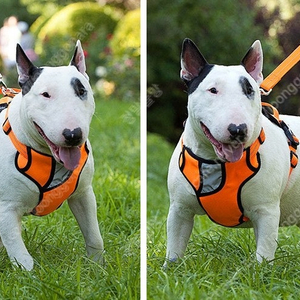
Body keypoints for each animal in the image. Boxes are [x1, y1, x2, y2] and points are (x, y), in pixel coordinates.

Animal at [0, 40, 104, 270]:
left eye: (82, 91)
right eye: (45, 94)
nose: (73, 135)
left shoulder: (83, 193)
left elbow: (93, 235)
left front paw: (98, 267)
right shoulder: (6, 209)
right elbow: (21, 256)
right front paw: (30, 276)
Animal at [165, 38, 300, 264]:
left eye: (250, 91)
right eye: (213, 90)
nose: (238, 129)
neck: (215, 163)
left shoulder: (266, 212)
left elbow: (263, 255)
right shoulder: (180, 210)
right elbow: (174, 250)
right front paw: (170, 269)